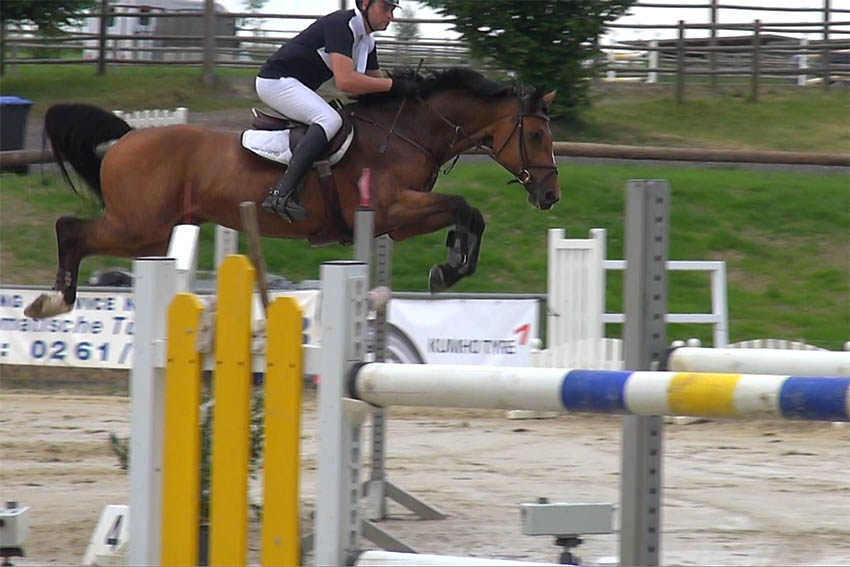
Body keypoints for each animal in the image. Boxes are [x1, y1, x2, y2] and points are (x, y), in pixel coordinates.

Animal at [23, 66, 560, 320]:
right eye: (536, 135)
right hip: (138, 227)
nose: (550, 196)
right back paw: (52, 301)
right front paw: (449, 267)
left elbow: (469, 214)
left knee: (76, 232)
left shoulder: (400, 222)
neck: (409, 132)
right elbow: (464, 207)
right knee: (70, 229)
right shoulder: (391, 208)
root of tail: (126, 139)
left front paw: (450, 265)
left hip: (154, 232)